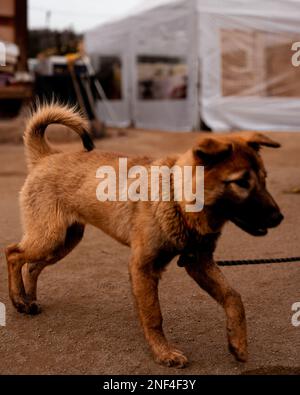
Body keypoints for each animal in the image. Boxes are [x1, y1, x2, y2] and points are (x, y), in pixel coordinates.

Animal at [6, 104, 284, 368]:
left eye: (264, 179)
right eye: (241, 183)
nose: (279, 218)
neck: (176, 197)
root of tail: (46, 156)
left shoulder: (199, 263)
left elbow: (233, 297)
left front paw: (238, 343)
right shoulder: (143, 267)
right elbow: (153, 316)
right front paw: (164, 353)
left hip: (64, 241)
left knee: (32, 265)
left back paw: (29, 300)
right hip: (50, 237)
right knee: (13, 254)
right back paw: (18, 299)